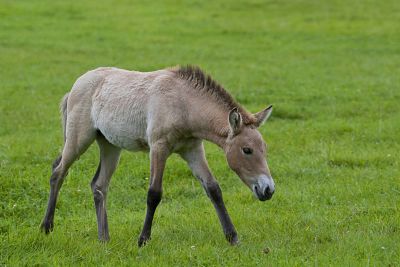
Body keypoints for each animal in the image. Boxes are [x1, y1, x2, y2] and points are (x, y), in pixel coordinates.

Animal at [40, 65, 276, 247]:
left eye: (264, 147)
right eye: (247, 150)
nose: (268, 190)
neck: (184, 103)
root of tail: (76, 85)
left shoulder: (192, 150)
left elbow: (213, 189)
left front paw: (233, 237)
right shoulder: (159, 148)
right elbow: (154, 193)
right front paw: (143, 240)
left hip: (110, 146)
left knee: (99, 185)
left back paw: (104, 238)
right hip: (78, 139)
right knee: (58, 172)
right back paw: (46, 227)